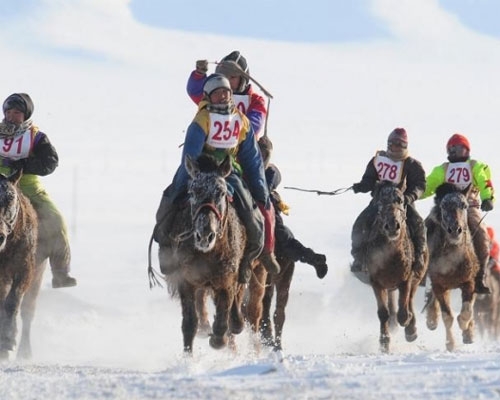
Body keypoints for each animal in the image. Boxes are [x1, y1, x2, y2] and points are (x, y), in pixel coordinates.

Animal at [151, 155, 247, 354]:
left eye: (221, 192)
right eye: (193, 191)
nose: (205, 235)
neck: (209, 254)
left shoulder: (226, 281)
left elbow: (222, 321)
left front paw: (218, 339)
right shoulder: (186, 280)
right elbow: (189, 323)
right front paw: (188, 356)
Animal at [358, 181, 424, 354]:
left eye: (400, 200)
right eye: (381, 202)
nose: (393, 226)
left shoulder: (406, 280)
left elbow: (404, 311)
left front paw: (408, 326)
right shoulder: (376, 283)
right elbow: (383, 313)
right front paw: (384, 342)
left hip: (416, 278)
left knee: (410, 301)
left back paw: (411, 329)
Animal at [424, 183, 478, 352]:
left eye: (464, 205)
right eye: (443, 206)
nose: (455, 230)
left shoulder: (469, 282)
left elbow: (467, 310)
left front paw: (466, 329)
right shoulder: (439, 285)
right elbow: (447, 316)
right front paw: (450, 344)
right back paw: (431, 319)